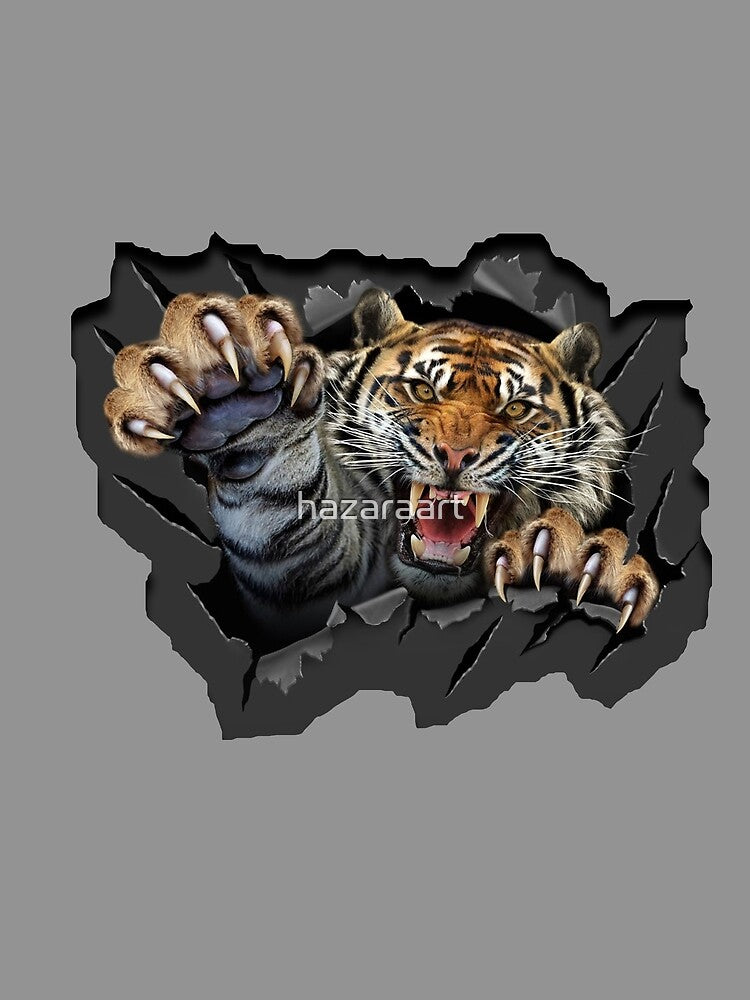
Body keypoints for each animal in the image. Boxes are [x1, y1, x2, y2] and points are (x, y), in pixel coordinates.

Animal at [104, 287, 659, 648]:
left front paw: (579, 562)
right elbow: (278, 503)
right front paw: (235, 384)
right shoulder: (308, 571)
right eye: (423, 390)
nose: (455, 455)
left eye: (516, 408)